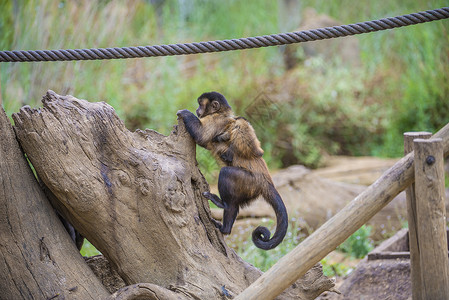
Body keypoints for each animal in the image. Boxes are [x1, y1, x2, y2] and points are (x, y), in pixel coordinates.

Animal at [176, 91, 288, 251]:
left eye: (200, 104)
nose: (197, 110)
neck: (222, 113)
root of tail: (267, 181)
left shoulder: (216, 120)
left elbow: (201, 136)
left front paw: (185, 113)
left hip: (250, 181)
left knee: (226, 172)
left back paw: (223, 205)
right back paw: (225, 228)